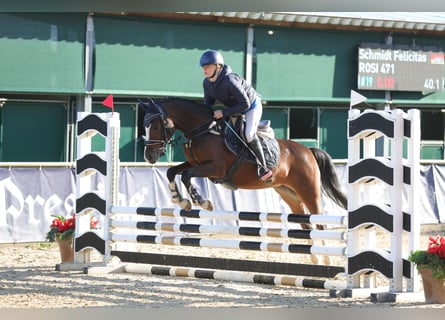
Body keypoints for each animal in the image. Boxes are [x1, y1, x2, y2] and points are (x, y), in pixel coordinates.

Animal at [140, 97, 346, 264]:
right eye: (145, 126)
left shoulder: (215, 169)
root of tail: (307, 150)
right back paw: (315, 258)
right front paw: (179, 199)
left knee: (319, 223)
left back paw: (326, 259)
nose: (149, 156)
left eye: (156, 126)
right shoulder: (193, 163)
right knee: (306, 224)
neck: (202, 130)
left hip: (309, 190)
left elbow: (186, 175)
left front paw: (201, 201)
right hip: (289, 194)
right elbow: (172, 172)